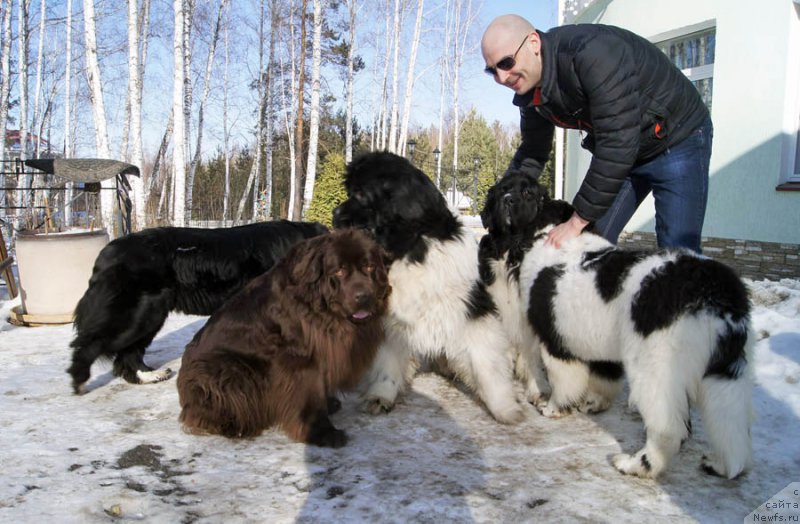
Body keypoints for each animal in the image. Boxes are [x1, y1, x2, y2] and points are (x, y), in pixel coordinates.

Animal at [69, 219, 328, 396]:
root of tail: (106, 254)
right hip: (141, 312)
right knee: (92, 343)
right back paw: (79, 380)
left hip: (150, 313)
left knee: (127, 354)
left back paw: (151, 375)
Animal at [177, 228, 390, 446]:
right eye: (339, 271)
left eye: (370, 267)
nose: (363, 296)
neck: (321, 306)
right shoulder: (300, 357)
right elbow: (311, 395)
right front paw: (322, 432)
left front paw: (329, 405)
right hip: (230, 369)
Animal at [332, 149, 524, 424]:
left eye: (359, 194)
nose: (335, 214)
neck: (409, 249)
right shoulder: (391, 322)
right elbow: (386, 364)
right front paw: (381, 396)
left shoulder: (472, 313)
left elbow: (486, 364)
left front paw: (504, 407)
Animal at [478, 172, 752, 478]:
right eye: (503, 189)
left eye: (527, 193)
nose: (507, 200)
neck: (540, 234)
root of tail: (713, 287)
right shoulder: (598, 336)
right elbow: (604, 374)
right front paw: (594, 402)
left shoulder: (555, 336)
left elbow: (564, 377)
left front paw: (555, 408)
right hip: (726, 370)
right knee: (732, 423)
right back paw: (723, 465)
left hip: (656, 367)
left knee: (669, 428)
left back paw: (637, 464)